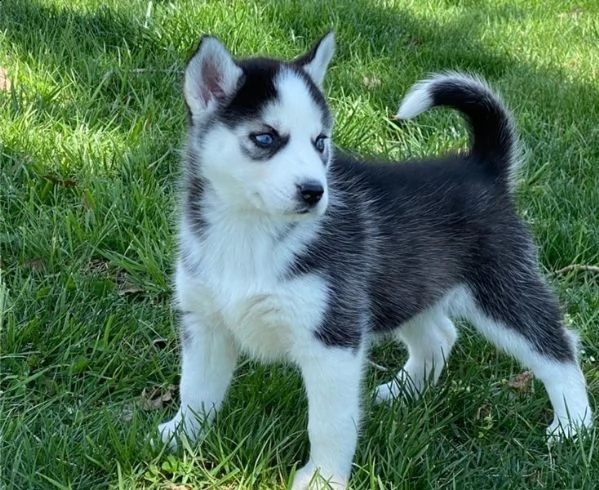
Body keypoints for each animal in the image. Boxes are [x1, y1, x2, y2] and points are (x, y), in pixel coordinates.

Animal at [161, 32, 596, 488]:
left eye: (320, 142)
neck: (250, 231)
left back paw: (573, 425)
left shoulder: (334, 339)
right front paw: (182, 436)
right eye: (265, 138)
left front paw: (323, 477)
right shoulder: (204, 322)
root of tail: (480, 165)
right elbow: (196, 388)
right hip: (406, 285)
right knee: (441, 336)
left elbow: (329, 423)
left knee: (558, 347)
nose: (315, 192)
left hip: (501, 290)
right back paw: (404, 391)